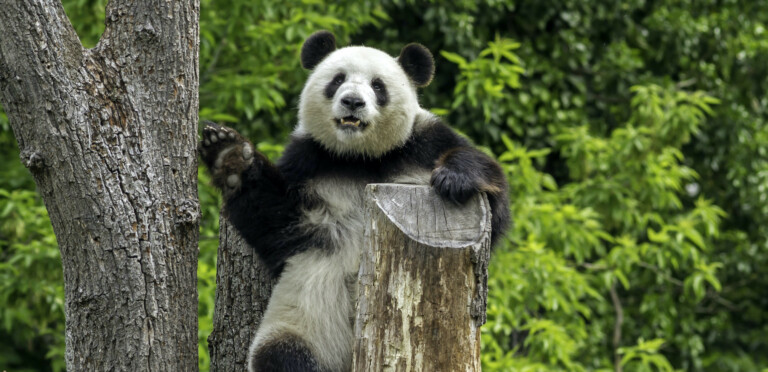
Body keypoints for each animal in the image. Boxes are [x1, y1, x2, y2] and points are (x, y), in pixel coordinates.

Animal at [198, 31, 510, 372]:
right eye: (337, 80)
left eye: (378, 85)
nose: (352, 102)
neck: (359, 157)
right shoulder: (307, 161)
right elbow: (274, 219)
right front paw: (230, 157)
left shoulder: (422, 145)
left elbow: (495, 205)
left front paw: (454, 178)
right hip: (305, 327)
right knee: (280, 355)